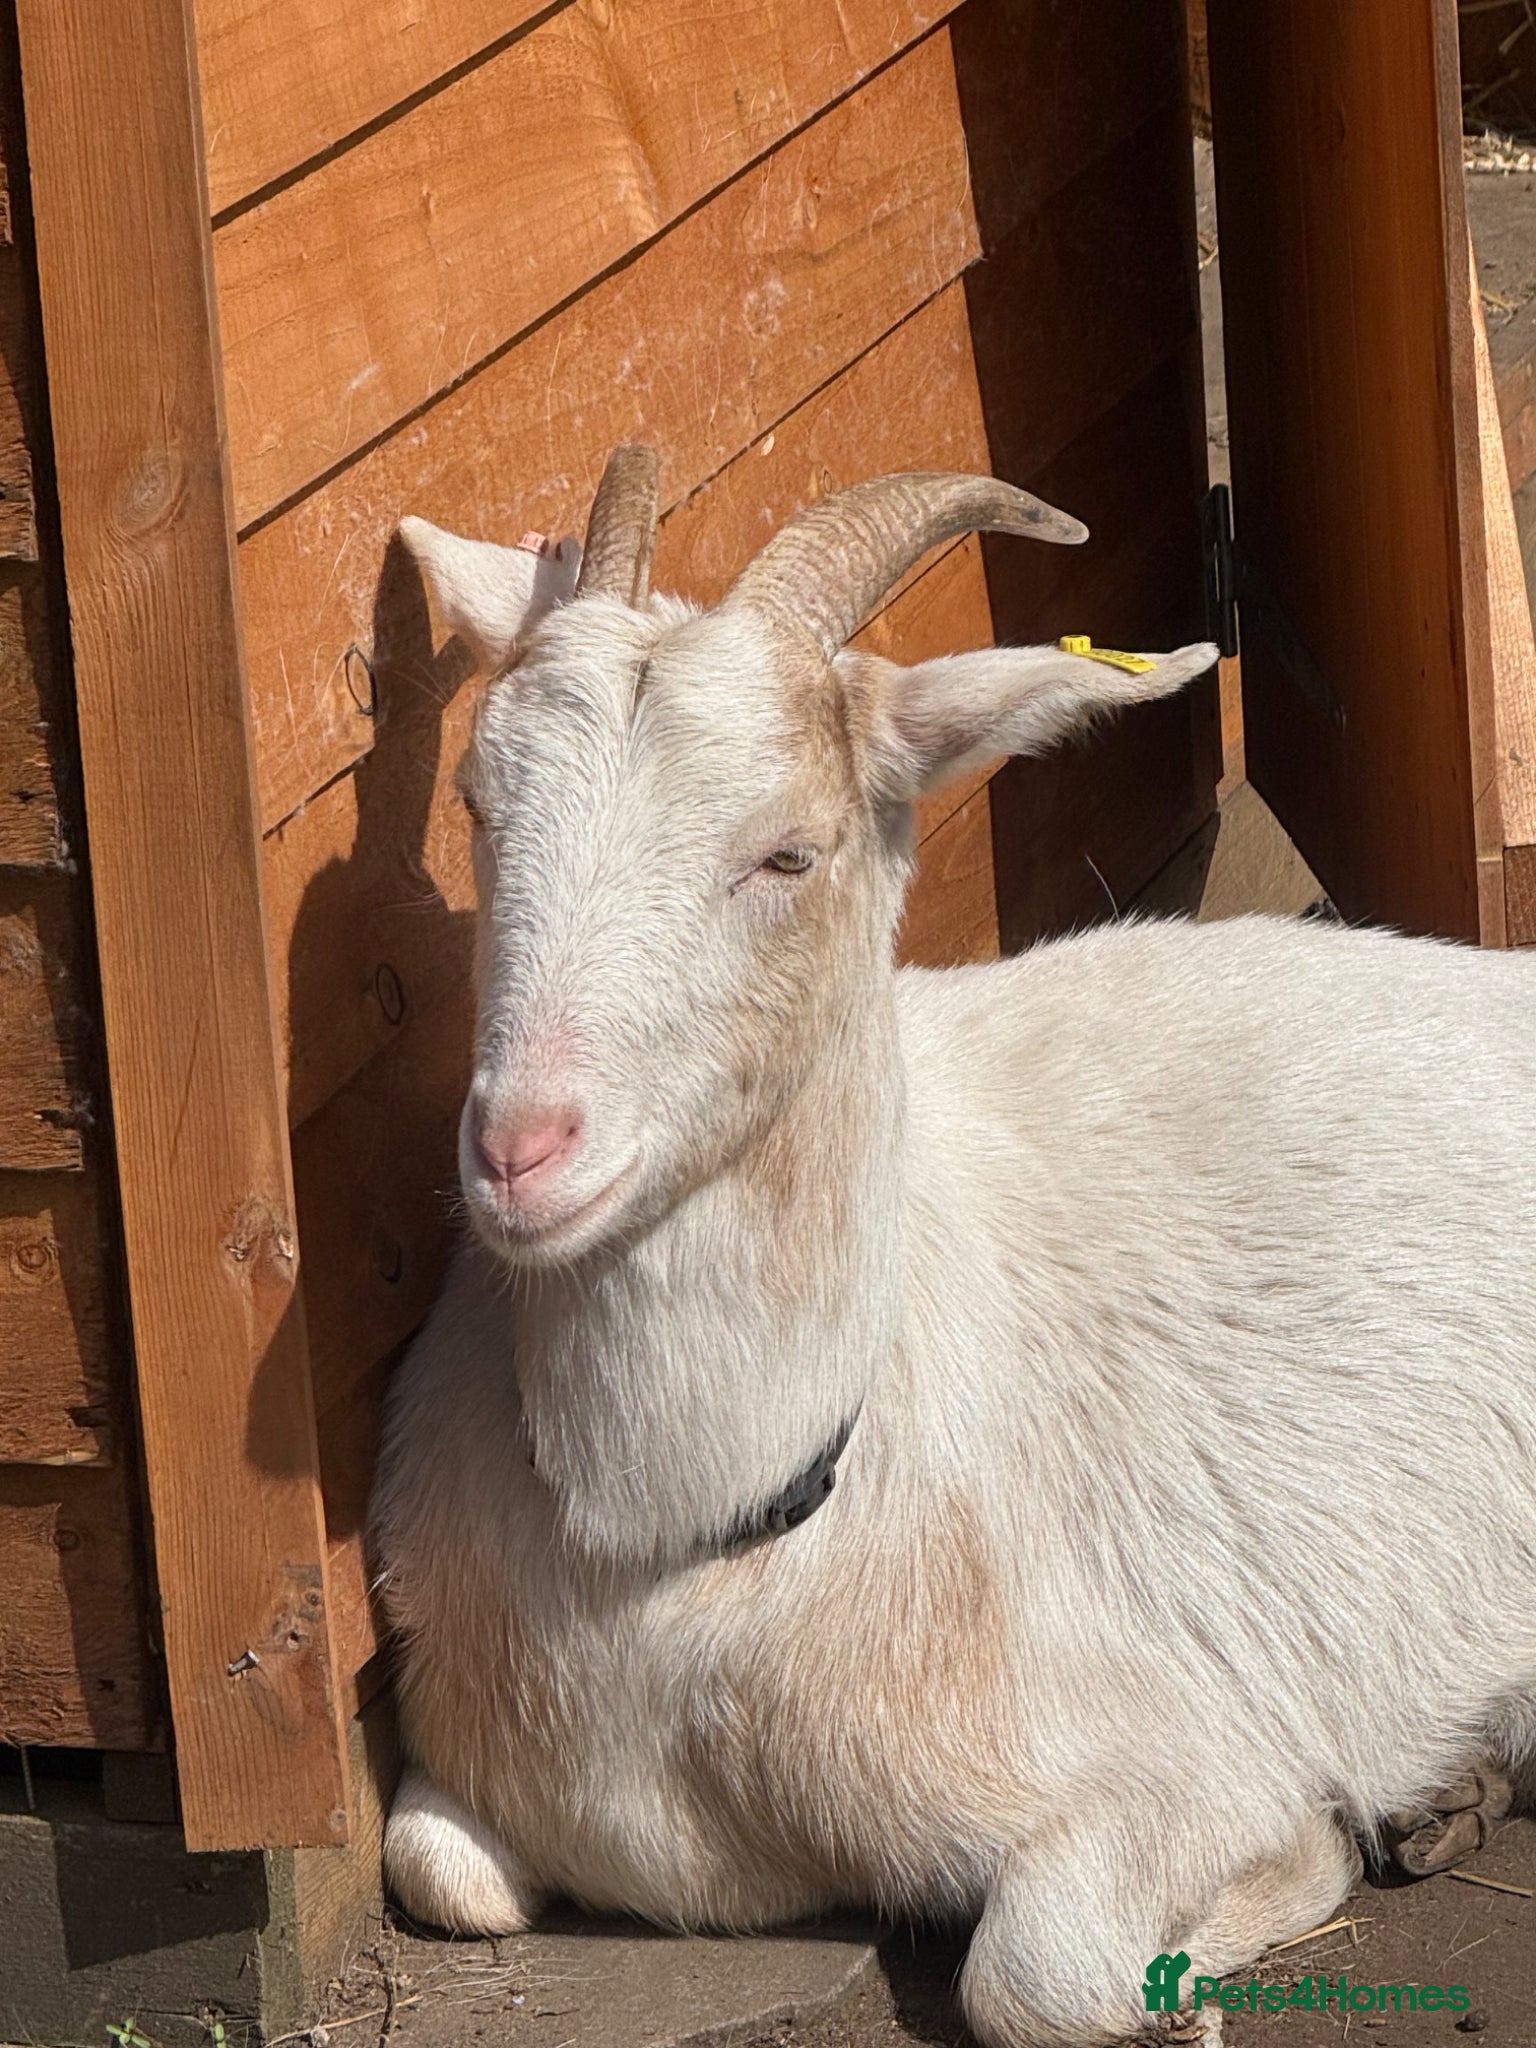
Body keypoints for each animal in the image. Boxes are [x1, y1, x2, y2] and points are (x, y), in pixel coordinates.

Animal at [370, 448, 1536, 2048]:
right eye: (482, 805)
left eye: (787, 852)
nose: (520, 1149)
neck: (697, 1554)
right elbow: (436, 1865)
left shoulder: (1167, 1745)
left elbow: (1036, 1969)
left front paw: (1246, 1918)